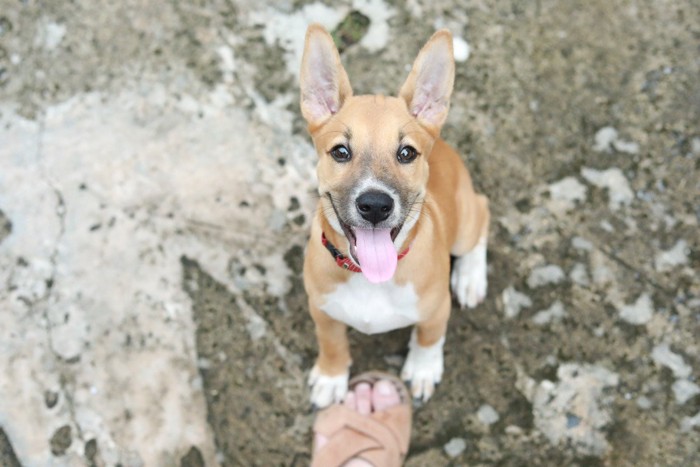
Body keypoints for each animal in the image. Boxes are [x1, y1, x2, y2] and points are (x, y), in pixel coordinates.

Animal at [300, 23, 492, 408]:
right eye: (340, 151)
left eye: (406, 153)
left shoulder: (437, 308)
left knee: (483, 211)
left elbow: (429, 337)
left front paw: (422, 369)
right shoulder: (321, 309)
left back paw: (470, 277)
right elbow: (331, 342)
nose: (375, 205)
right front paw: (331, 375)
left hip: (465, 219)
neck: (370, 278)